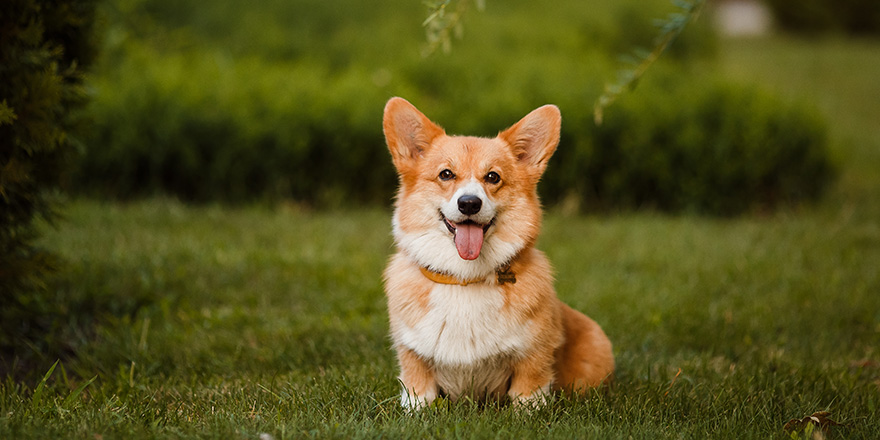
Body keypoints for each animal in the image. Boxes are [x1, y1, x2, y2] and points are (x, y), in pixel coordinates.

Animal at [382, 98, 616, 410]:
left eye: (493, 177)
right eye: (446, 174)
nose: (469, 203)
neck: (464, 279)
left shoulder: (534, 357)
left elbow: (528, 395)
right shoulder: (412, 354)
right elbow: (418, 394)